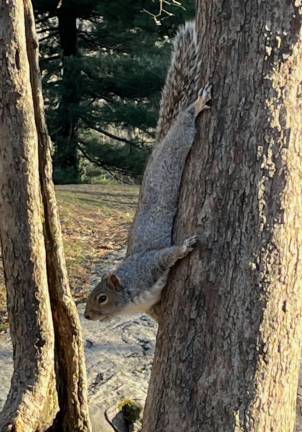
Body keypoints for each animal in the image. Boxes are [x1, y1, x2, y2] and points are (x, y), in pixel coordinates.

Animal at [84, 22, 211, 322]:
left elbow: (168, 254)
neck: (131, 297)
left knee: (183, 129)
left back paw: (195, 107)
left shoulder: (149, 265)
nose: (87, 316)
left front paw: (186, 246)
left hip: (174, 151)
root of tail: (156, 149)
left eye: (102, 297)